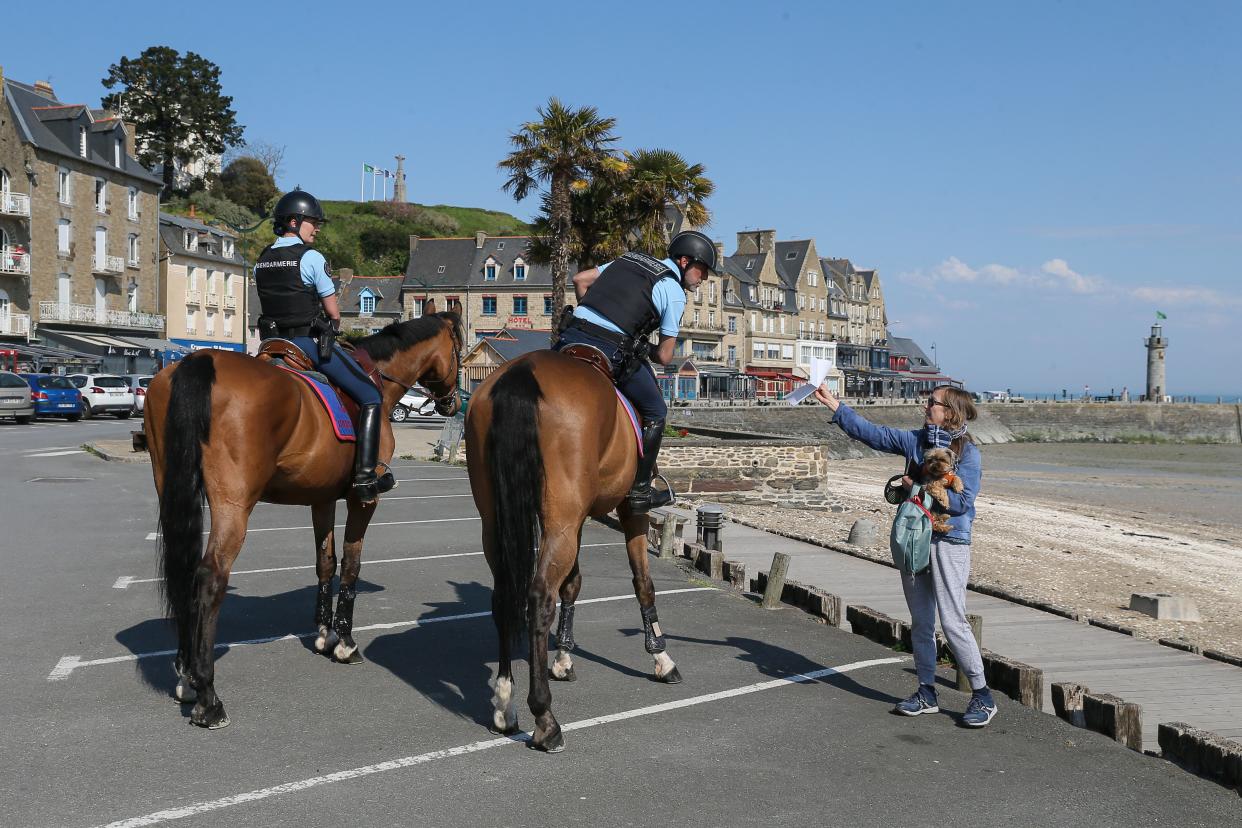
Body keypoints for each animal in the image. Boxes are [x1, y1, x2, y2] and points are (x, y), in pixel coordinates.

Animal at [145, 304, 464, 724]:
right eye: (459, 346)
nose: (452, 403)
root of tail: (198, 361)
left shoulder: (322, 498)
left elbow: (325, 562)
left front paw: (324, 634)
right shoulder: (363, 501)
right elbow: (351, 564)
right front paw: (345, 642)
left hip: (173, 491)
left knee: (183, 571)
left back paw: (185, 677)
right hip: (233, 505)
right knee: (210, 577)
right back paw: (208, 696)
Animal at [464, 347, 680, 749]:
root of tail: (521, 373)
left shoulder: (576, 520)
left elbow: (573, 584)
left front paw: (563, 657)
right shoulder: (631, 511)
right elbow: (643, 583)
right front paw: (661, 657)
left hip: (499, 519)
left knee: (505, 598)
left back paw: (504, 705)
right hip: (561, 519)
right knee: (538, 597)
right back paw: (545, 719)